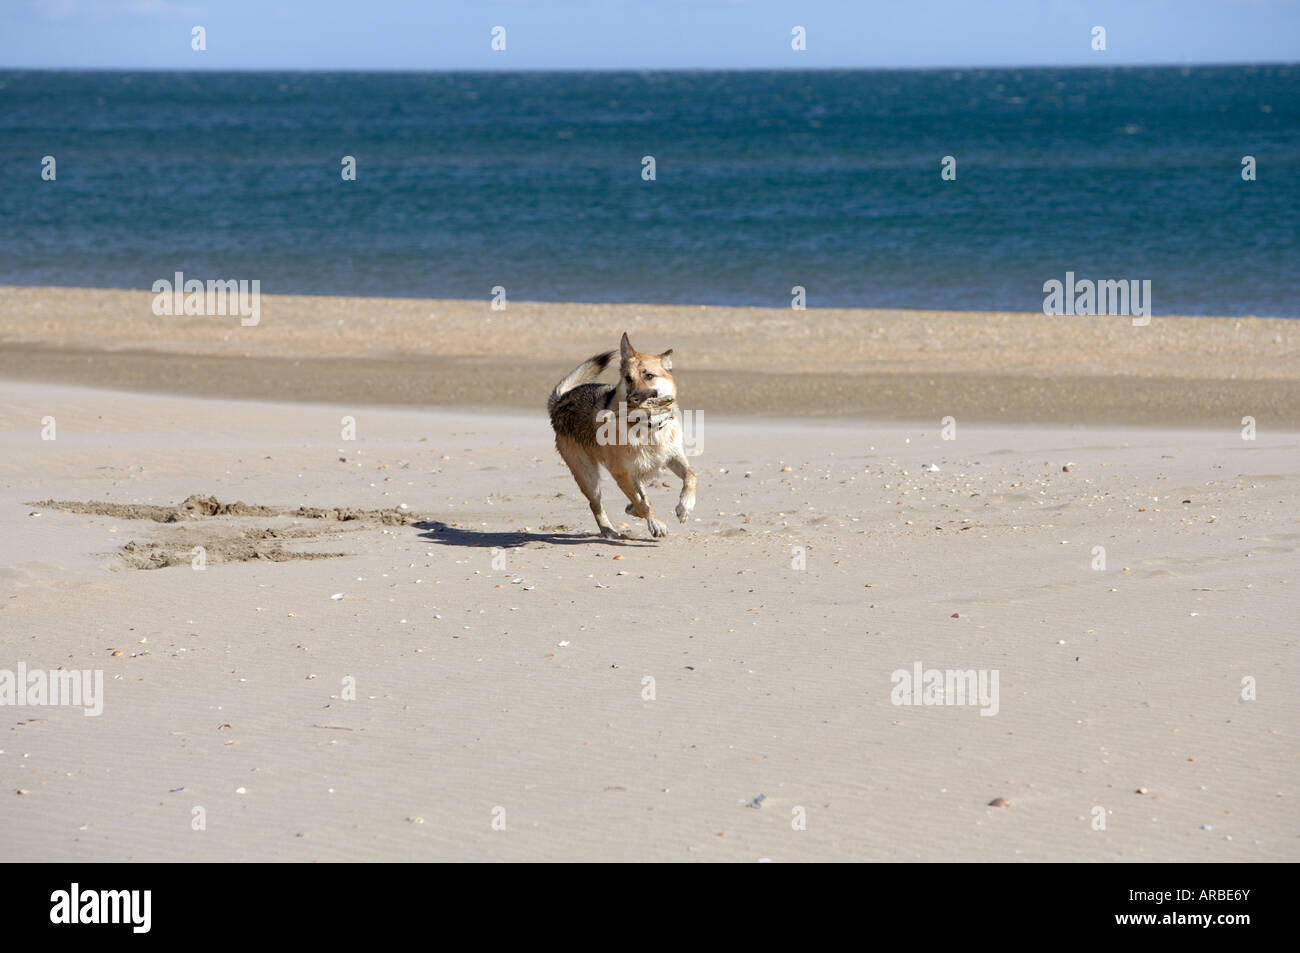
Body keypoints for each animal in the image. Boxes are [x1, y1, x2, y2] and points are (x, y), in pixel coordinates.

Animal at [546, 332, 696, 535]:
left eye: (649, 376)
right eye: (628, 378)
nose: (632, 399)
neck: (648, 426)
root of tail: (560, 401)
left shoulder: (672, 457)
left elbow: (691, 477)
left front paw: (685, 507)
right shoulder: (621, 474)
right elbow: (642, 504)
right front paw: (654, 522)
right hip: (588, 478)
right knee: (596, 504)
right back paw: (608, 529)